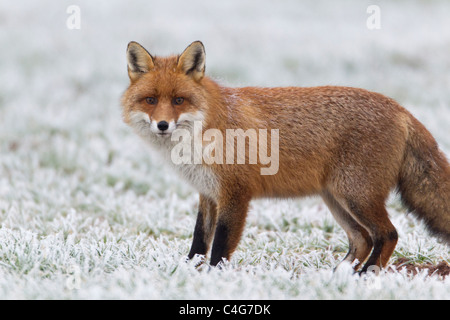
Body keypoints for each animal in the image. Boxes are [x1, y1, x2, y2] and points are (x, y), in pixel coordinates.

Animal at [120, 41, 450, 274]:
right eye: (150, 100)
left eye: (179, 100)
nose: (163, 125)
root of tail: (402, 109)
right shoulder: (208, 193)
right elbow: (199, 241)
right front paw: (186, 272)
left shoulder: (235, 194)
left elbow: (221, 246)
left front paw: (214, 277)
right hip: (337, 199)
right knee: (362, 239)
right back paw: (337, 276)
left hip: (356, 196)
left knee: (388, 234)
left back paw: (364, 276)